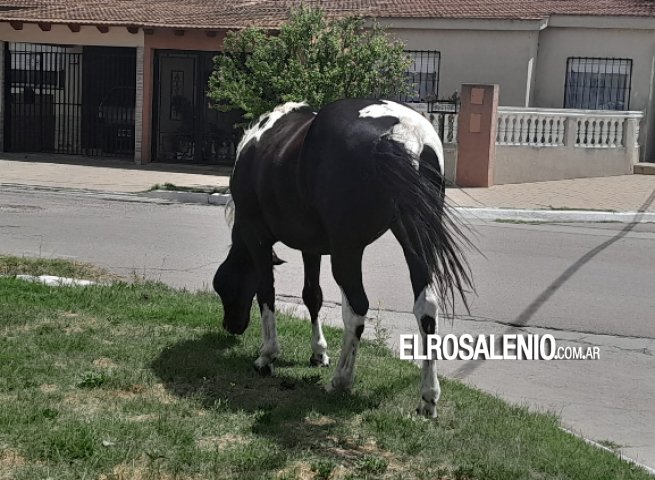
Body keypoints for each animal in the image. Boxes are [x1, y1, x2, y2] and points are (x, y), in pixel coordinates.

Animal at [213, 98, 474, 416]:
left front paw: (268, 355)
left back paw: (342, 380)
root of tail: (404, 134)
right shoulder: (311, 247)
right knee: (426, 306)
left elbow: (266, 293)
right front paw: (318, 353)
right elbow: (312, 295)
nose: (231, 327)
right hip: (414, 237)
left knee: (357, 308)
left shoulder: (256, 237)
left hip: (348, 250)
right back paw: (427, 397)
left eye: (222, 286)